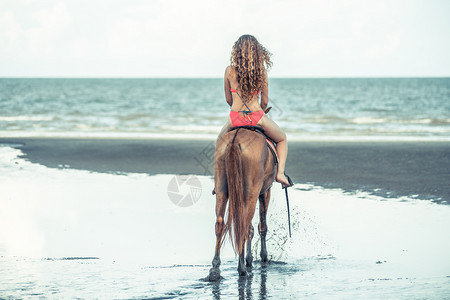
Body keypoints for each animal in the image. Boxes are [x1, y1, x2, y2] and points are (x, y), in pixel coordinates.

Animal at [206, 126, 276, 282]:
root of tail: (234, 140)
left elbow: (250, 229)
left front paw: (249, 258)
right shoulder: (265, 192)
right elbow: (262, 226)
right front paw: (262, 257)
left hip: (222, 190)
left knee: (220, 224)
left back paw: (215, 270)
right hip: (251, 194)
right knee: (243, 225)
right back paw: (242, 269)